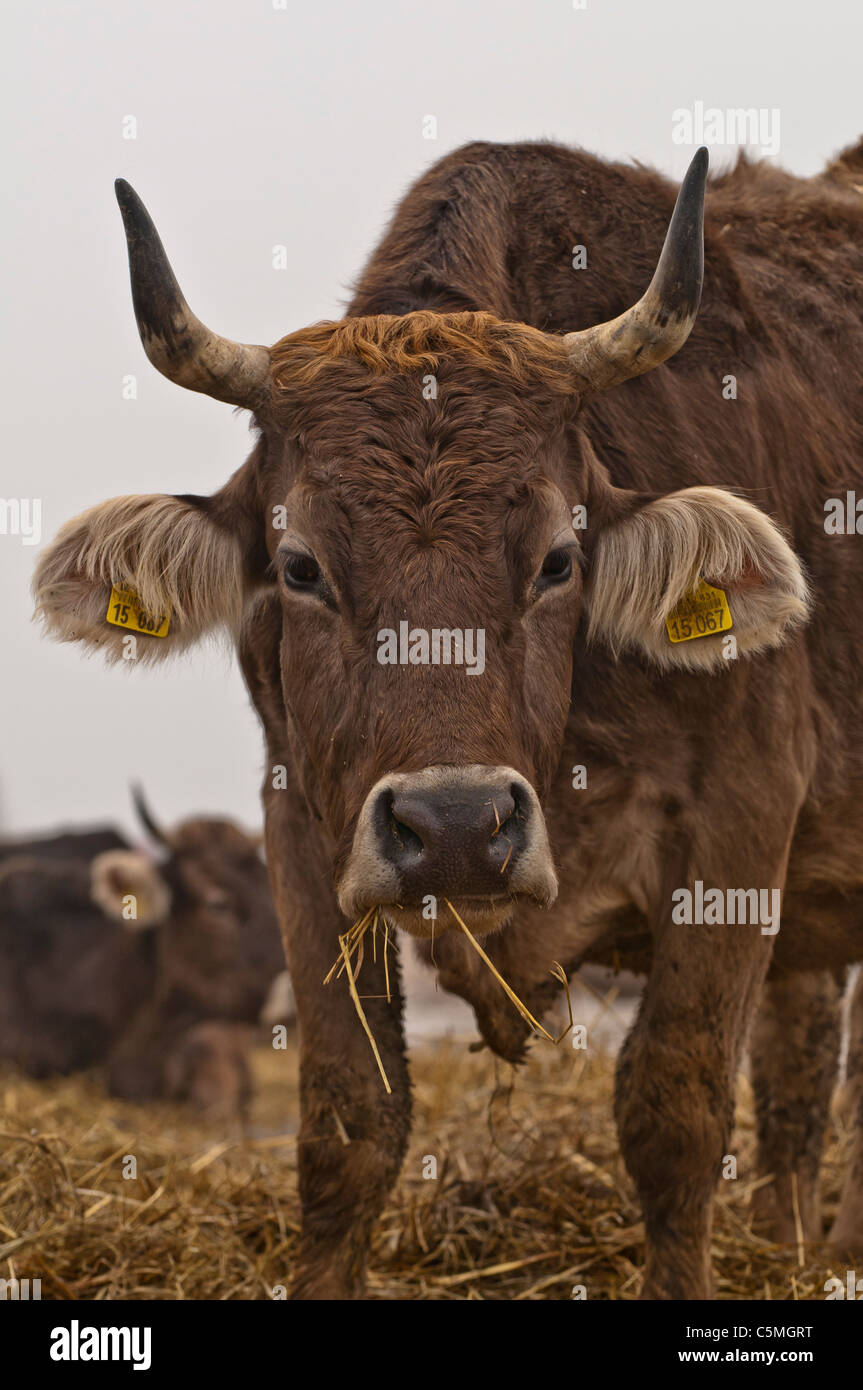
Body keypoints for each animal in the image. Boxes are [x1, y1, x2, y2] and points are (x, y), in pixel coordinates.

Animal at [30, 135, 861, 1295]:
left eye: (558, 558)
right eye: (300, 566)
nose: (460, 826)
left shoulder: (738, 823)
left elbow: (676, 1114)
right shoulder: (302, 830)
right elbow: (350, 1124)